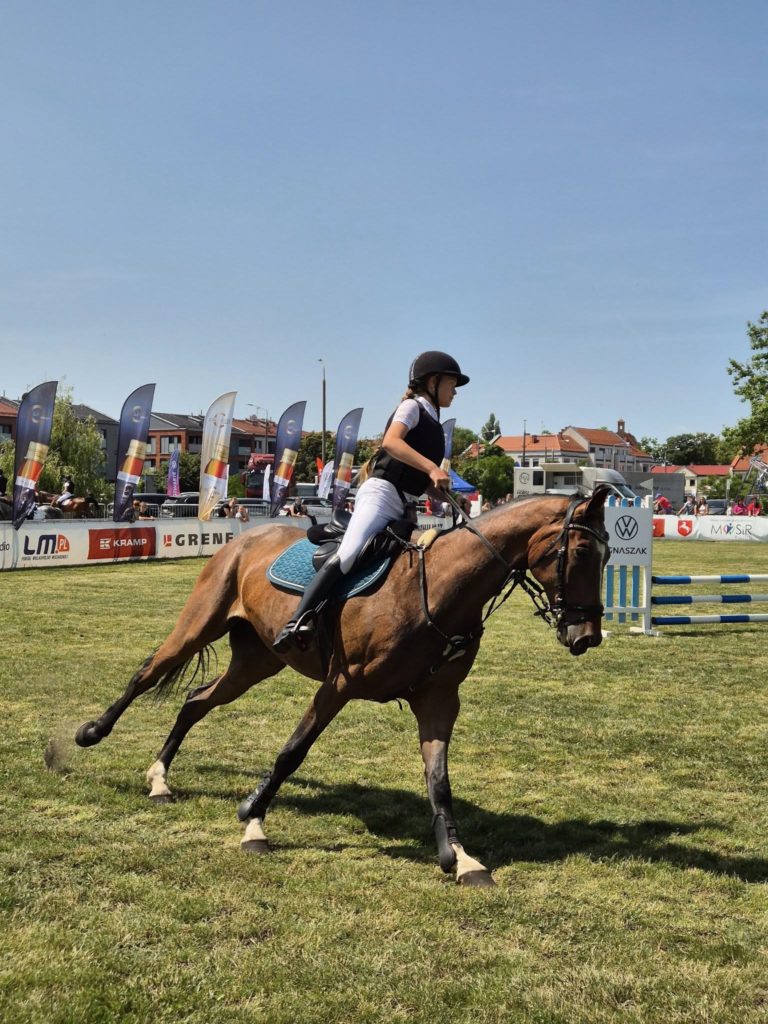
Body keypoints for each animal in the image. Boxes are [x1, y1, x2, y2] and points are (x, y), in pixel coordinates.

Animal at [75, 488, 610, 886]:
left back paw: (160, 779)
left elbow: (439, 781)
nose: (586, 636)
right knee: (146, 674)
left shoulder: (439, 700)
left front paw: (460, 857)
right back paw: (92, 734)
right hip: (198, 625)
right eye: (583, 551)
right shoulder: (339, 684)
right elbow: (292, 752)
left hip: (256, 661)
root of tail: (242, 538)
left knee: (195, 701)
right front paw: (253, 821)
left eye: (607, 555)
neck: (436, 589)